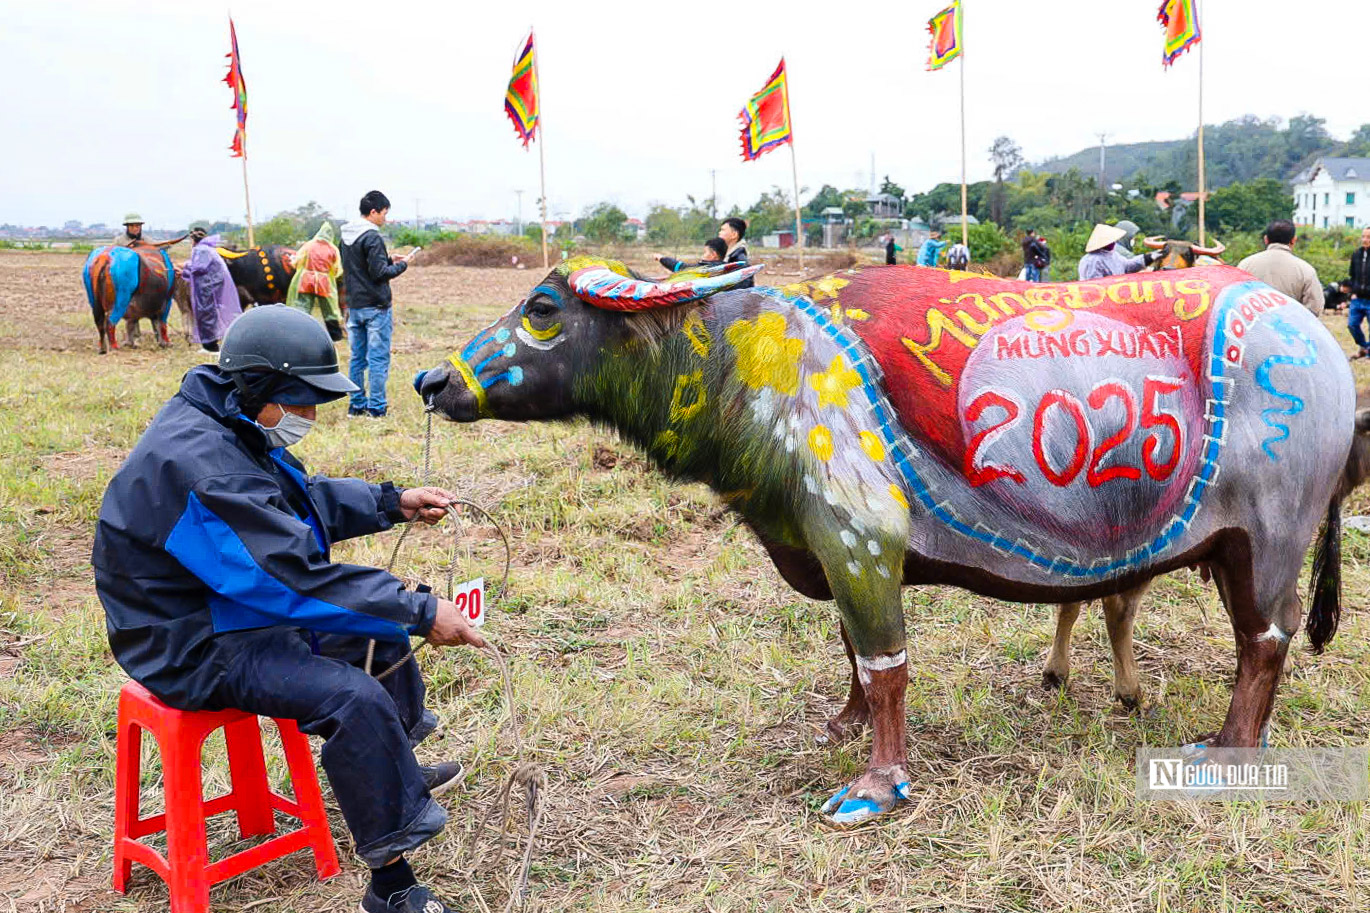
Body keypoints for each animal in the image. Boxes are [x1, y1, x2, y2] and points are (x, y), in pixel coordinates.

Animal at [416, 257, 1359, 822]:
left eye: (543, 308)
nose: (430, 379)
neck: (750, 362)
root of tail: (1310, 333)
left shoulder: (860, 536)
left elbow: (885, 662)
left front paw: (875, 785)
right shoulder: (832, 546)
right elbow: (849, 649)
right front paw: (841, 723)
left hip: (1271, 535)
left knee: (1264, 641)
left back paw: (1229, 751)